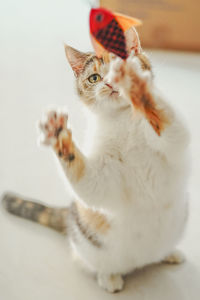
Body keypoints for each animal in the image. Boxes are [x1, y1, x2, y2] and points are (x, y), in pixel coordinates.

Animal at [1, 27, 190, 292]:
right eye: (94, 78)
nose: (110, 83)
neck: (122, 120)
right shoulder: (103, 176)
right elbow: (92, 184)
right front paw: (60, 137)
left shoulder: (172, 146)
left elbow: (171, 128)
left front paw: (140, 90)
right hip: (88, 242)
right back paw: (109, 277)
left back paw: (169, 253)